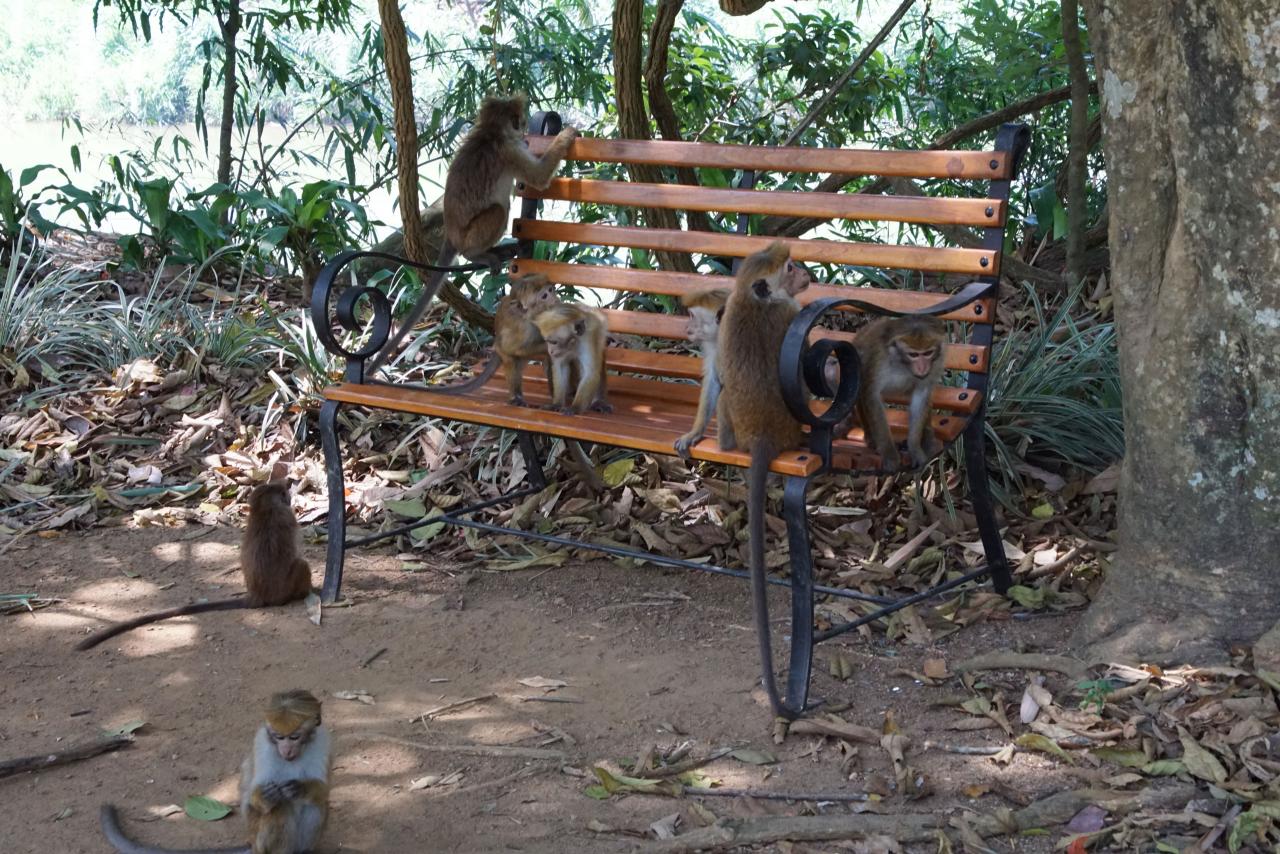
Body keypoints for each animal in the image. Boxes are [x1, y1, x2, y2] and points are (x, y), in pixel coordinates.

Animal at [100, 686, 330, 854]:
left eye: (294, 737)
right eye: (278, 737)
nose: (286, 749)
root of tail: (251, 845)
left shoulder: (324, 741)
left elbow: (323, 789)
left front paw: (301, 789)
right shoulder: (263, 746)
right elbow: (252, 800)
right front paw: (265, 796)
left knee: (314, 805)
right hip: (257, 839)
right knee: (279, 808)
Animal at [363, 93, 578, 373]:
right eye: (520, 120)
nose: (523, 130)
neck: (490, 131)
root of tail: (452, 236)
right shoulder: (510, 152)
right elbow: (539, 178)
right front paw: (566, 135)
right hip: (472, 234)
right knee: (499, 210)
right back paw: (477, 255)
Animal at [855, 316, 947, 473]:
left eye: (928, 353)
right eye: (913, 355)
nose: (922, 368)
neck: (902, 364)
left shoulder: (935, 364)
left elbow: (921, 395)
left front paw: (914, 447)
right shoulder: (878, 360)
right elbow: (872, 395)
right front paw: (889, 453)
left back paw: (927, 433)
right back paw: (870, 435)